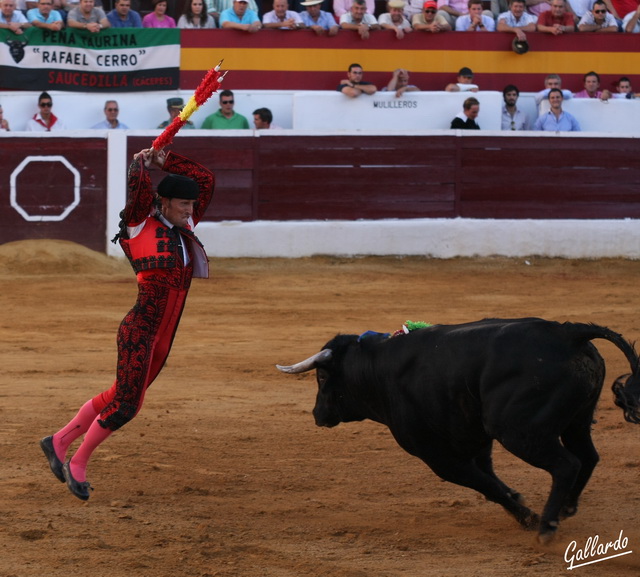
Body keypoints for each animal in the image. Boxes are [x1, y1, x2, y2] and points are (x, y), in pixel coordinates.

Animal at [278, 318, 640, 544]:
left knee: (567, 464)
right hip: (577, 420)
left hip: (518, 432)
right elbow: (491, 481)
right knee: (588, 456)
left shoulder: (435, 455)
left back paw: (547, 526)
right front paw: (519, 502)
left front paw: (527, 517)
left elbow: (484, 484)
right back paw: (566, 508)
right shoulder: (475, 441)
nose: (317, 415)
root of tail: (567, 333)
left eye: (322, 377)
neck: (377, 368)